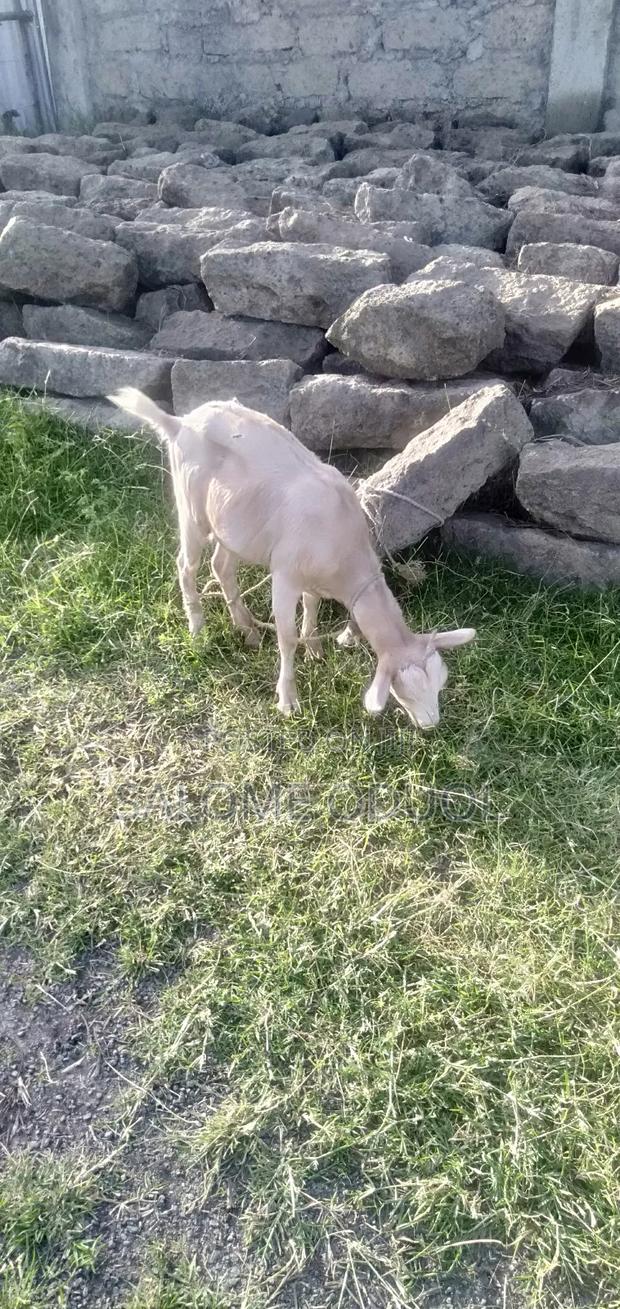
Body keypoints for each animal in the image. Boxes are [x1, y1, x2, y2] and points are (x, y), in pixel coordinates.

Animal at [108, 388, 476, 728]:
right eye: (404, 691)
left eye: (440, 682)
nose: (431, 725)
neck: (345, 556)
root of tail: (179, 421)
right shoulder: (284, 575)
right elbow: (286, 637)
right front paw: (288, 698)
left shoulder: (312, 578)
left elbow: (311, 608)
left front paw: (314, 650)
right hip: (191, 509)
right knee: (187, 566)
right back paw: (198, 628)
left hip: (233, 524)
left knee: (221, 567)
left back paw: (247, 629)